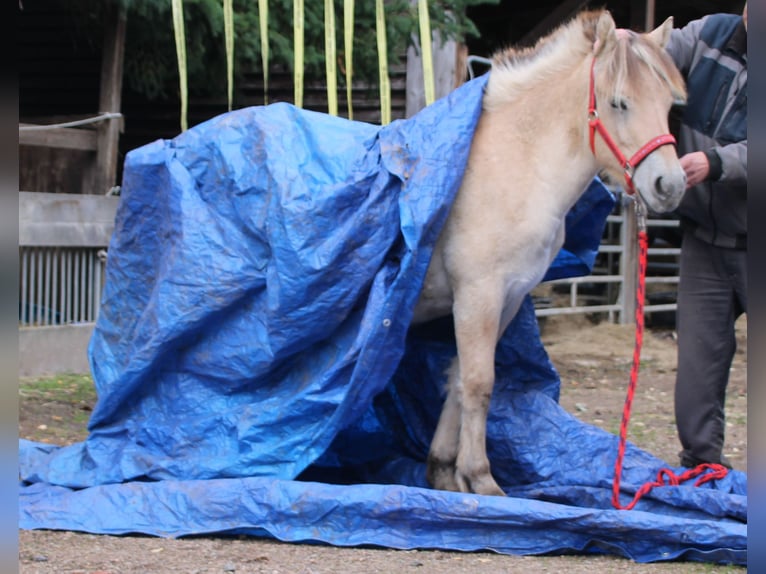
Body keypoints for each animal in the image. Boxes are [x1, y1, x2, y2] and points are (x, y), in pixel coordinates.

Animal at [414, 7, 688, 500]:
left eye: (667, 104)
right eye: (619, 103)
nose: (670, 185)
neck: (512, 166)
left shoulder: (505, 298)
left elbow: (458, 378)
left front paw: (445, 471)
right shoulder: (478, 295)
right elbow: (480, 382)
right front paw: (481, 478)